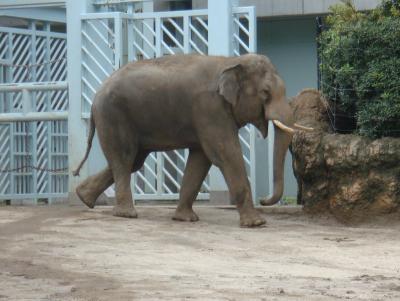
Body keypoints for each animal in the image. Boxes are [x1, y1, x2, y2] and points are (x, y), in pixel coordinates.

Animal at [72, 54, 310, 227]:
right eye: (265, 92)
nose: (264, 200)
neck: (231, 61)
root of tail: (95, 96)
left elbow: (201, 159)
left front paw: (185, 219)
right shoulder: (209, 108)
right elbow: (226, 153)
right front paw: (256, 223)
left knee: (134, 160)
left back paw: (83, 197)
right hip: (114, 115)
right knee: (125, 158)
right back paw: (126, 214)